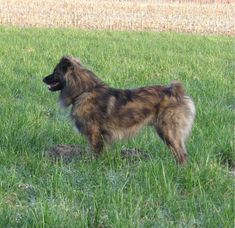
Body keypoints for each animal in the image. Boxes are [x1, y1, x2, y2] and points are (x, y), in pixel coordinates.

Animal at [43, 56, 196, 165]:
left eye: (55, 72)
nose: (43, 79)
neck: (84, 91)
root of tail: (175, 91)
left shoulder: (94, 134)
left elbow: (94, 152)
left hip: (168, 130)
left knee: (181, 154)